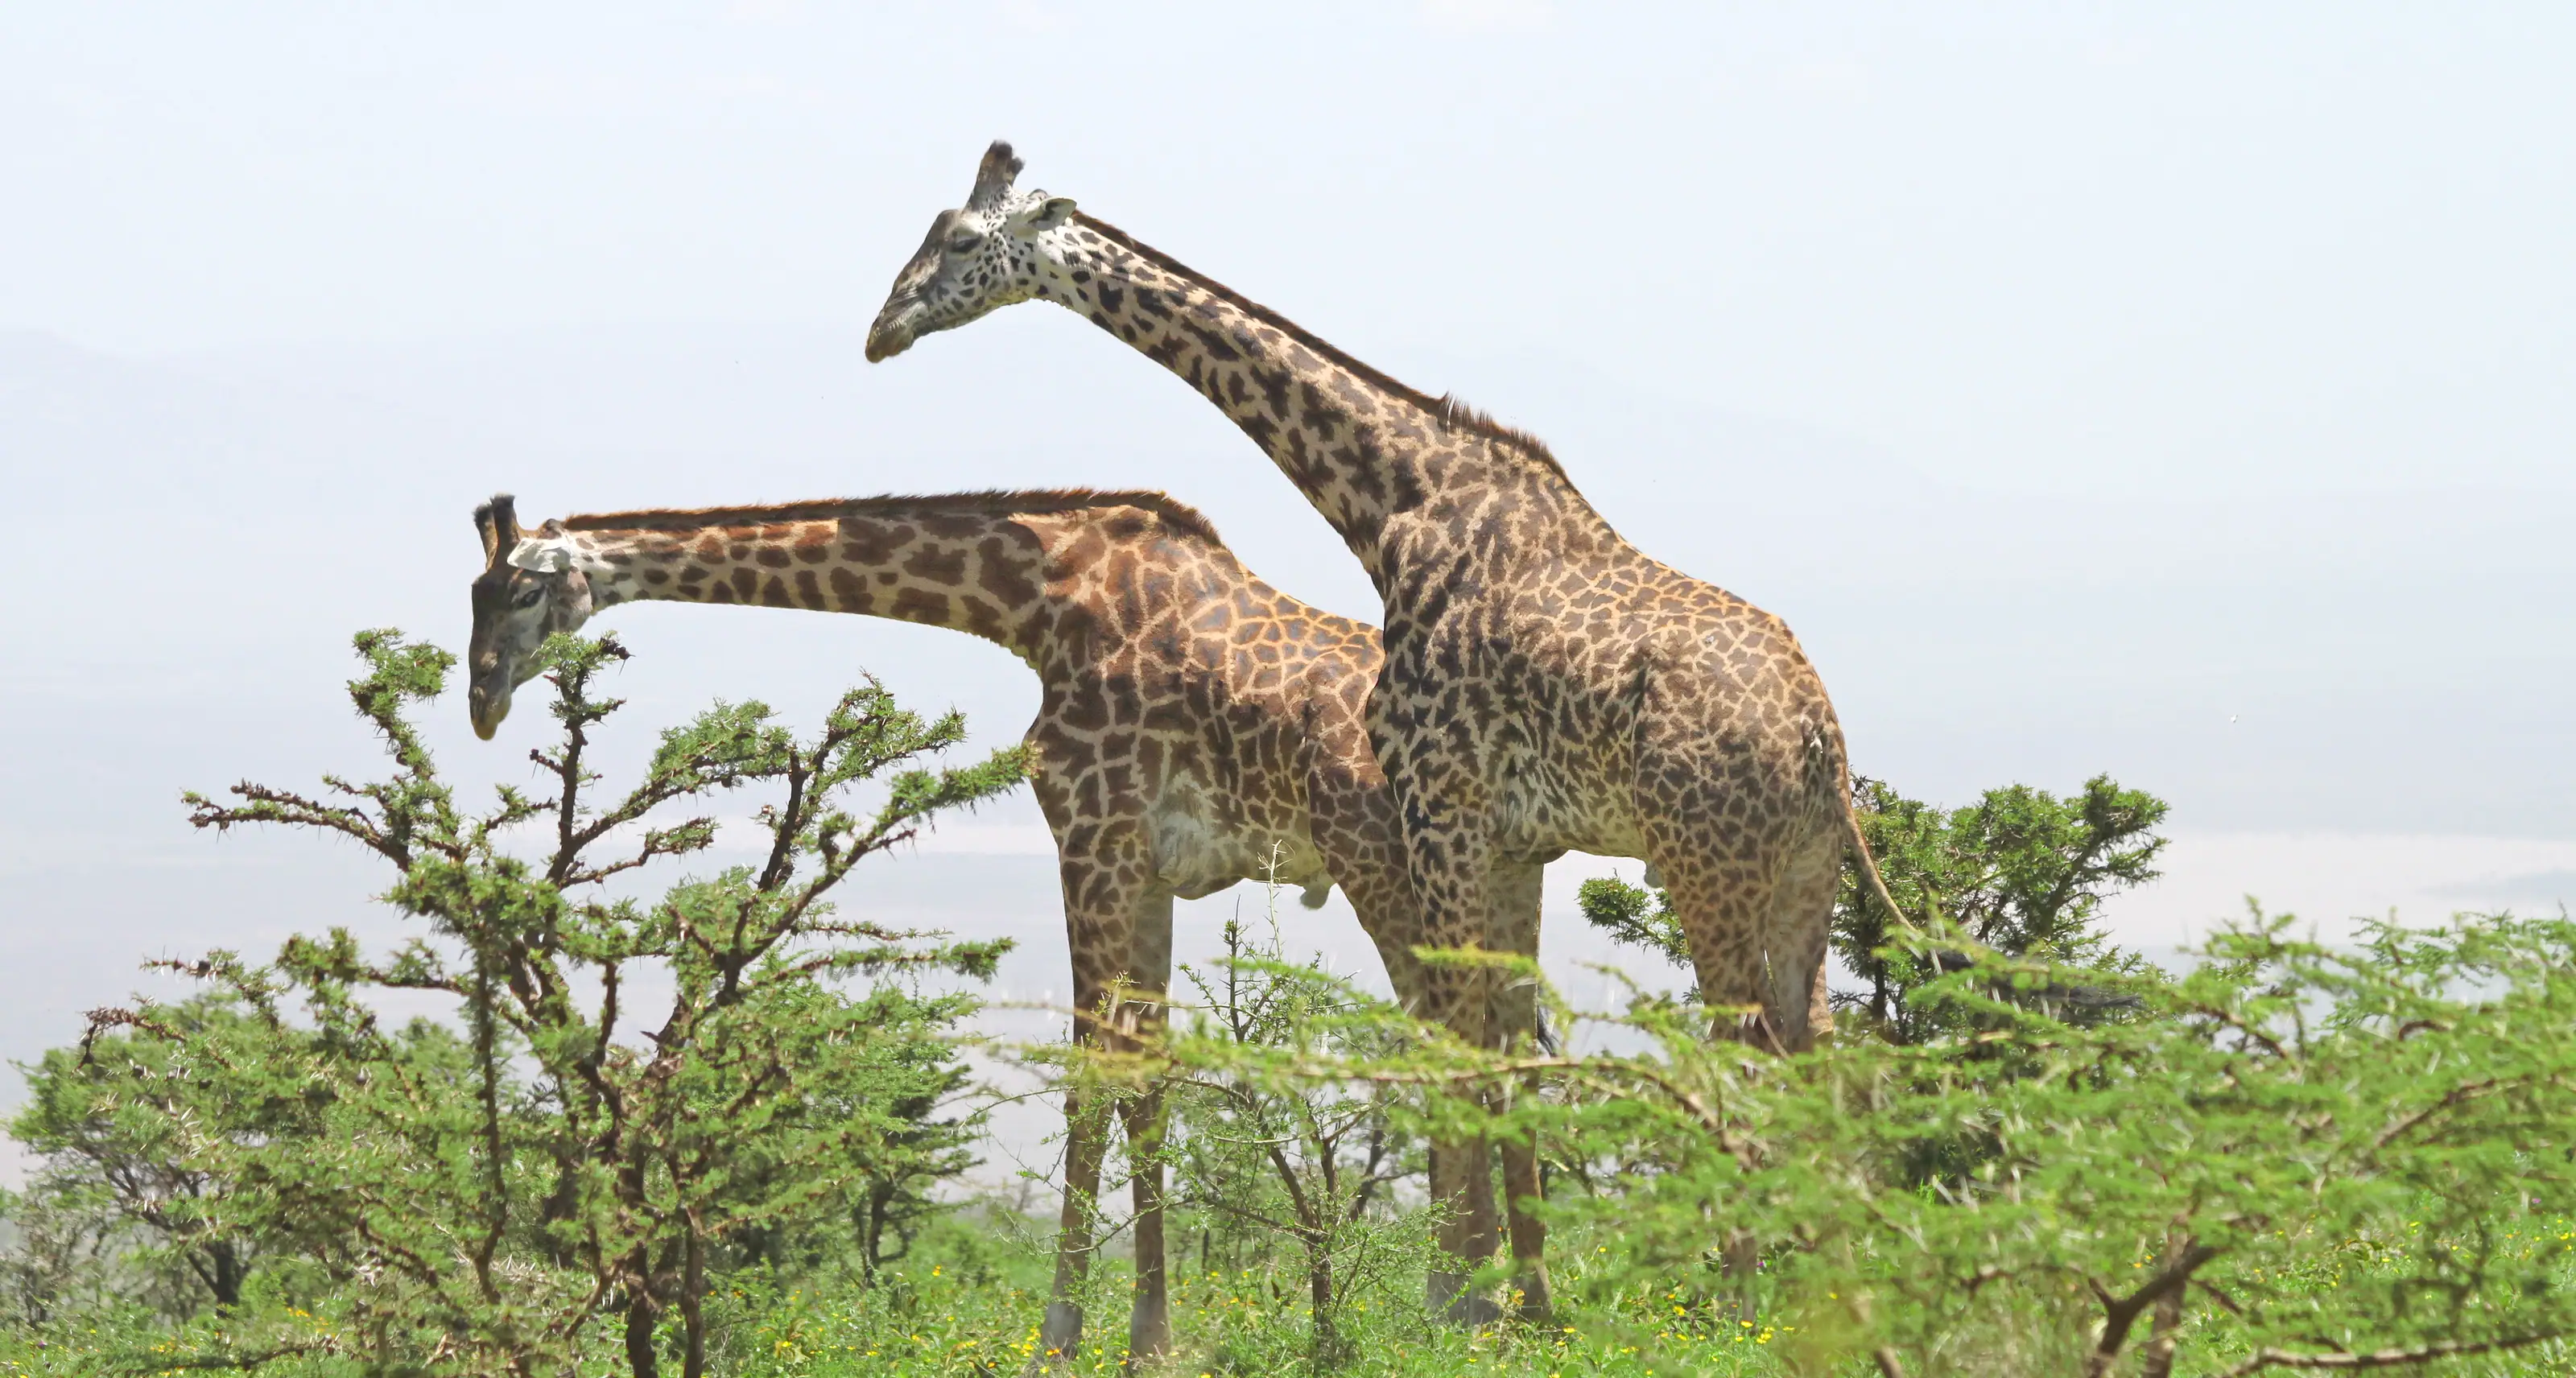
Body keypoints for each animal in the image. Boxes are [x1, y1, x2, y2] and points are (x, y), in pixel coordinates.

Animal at [461, 487, 1545, 1361]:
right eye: (472, 592)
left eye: (517, 593)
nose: (478, 700)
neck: (1034, 603)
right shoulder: (1144, 865)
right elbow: (1150, 1077)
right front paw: (1148, 1334)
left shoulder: (1091, 832)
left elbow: (1093, 1078)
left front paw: (1069, 1335)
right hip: (1500, 875)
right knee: (1512, 1041)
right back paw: (1523, 1306)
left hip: (1383, 863)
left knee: (1457, 1043)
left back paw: (1459, 1303)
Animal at [863, 142, 1899, 1315]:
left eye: (957, 239)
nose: (882, 326)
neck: (1390, 501)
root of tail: (1820, 739)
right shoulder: (1512, 841)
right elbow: (1499, 1041)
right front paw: (1515, 1301)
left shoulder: (1438, 806)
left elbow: (1463, 1043)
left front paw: (1467, 1303)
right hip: (1803, 873)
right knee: (1817, 1050)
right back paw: (1834, 1295)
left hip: (1703, 860)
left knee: (1746, 1053)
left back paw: (1740, 1304)